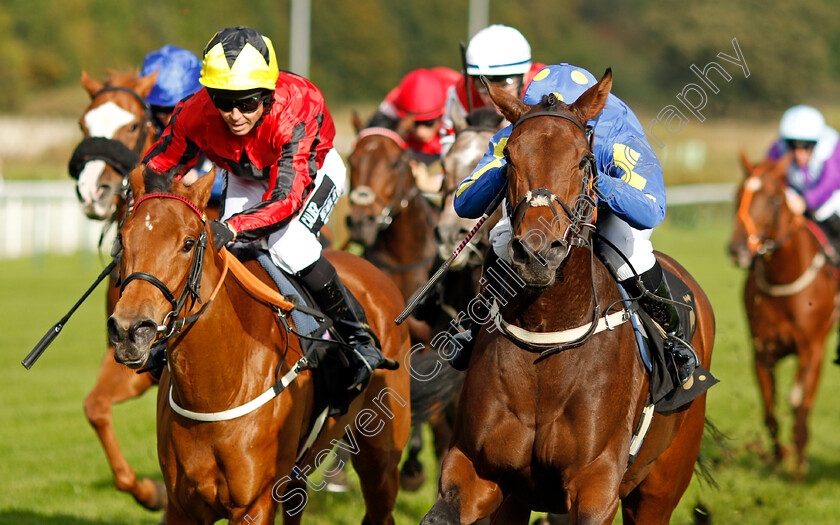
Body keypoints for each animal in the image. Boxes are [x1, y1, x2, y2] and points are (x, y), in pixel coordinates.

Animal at [110, 166, 412, 520]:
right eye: (122, 240)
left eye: (187, 243)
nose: (130, 331)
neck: (218, 386)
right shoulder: (182, 506)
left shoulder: (254, 504)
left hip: (381, 458)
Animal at [424, 70, 712, 524]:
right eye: (509, 159)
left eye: (581, 159)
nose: (537, 254)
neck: (549, 330)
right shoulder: (477, 469)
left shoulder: (596, 483)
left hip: (661, 485)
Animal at [724, 149, 836, 476]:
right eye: (738, 194)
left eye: (773, 199)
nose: (737, 249)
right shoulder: (763, 351)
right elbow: (770, 410)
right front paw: (776, 461)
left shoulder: (811, 349)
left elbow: (798, 406)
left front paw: (798, 470)